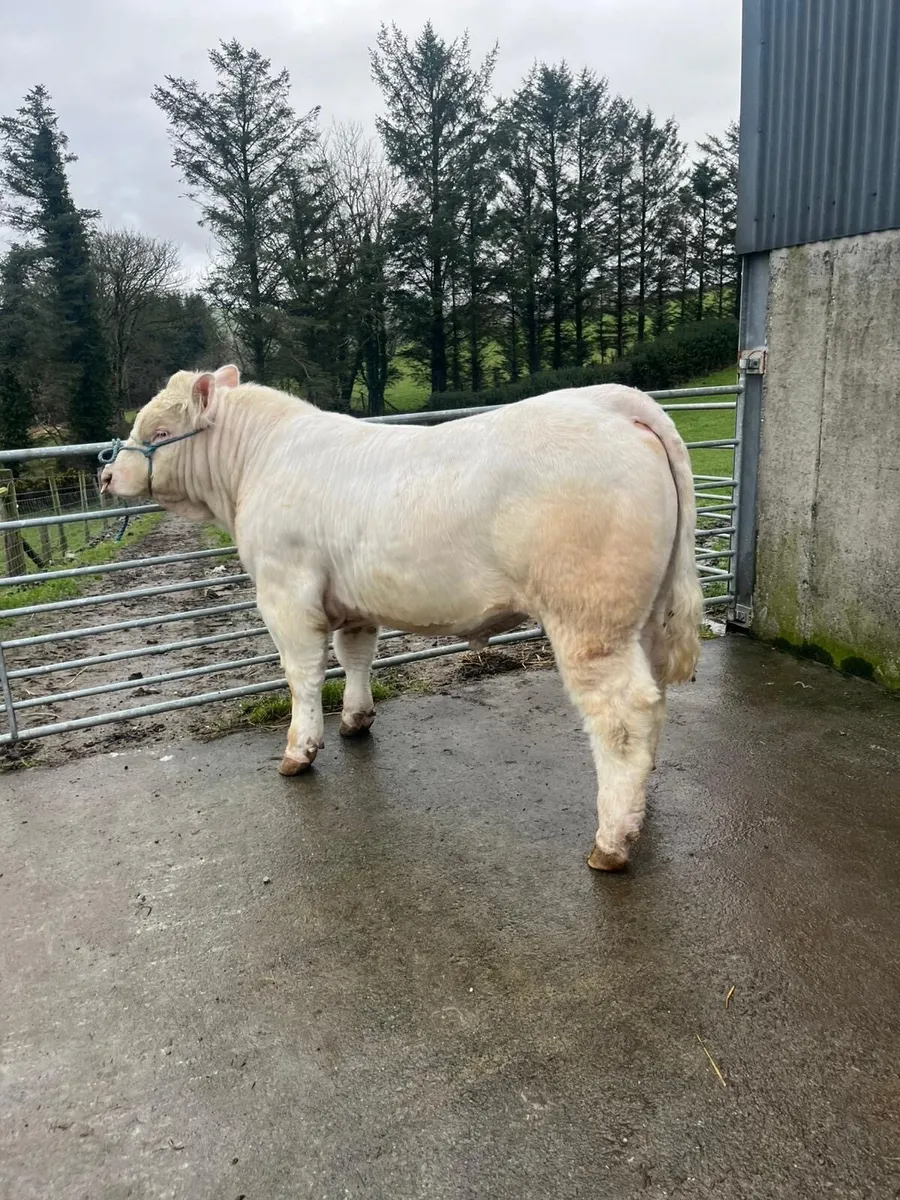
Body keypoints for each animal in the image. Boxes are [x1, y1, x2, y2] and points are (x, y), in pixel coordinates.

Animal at [100, 365, 703, 871]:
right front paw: (355, 720)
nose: (106, 477)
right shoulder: (353, 601)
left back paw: (611, 840)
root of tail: (611, 401)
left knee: (622, 714)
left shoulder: (285, 591)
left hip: (589, 615)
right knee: (654, 700)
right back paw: (639, 806)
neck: (254, 466)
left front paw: (299, 751)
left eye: (157, 428)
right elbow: (355, 658)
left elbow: (302, 675)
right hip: (646, 616)